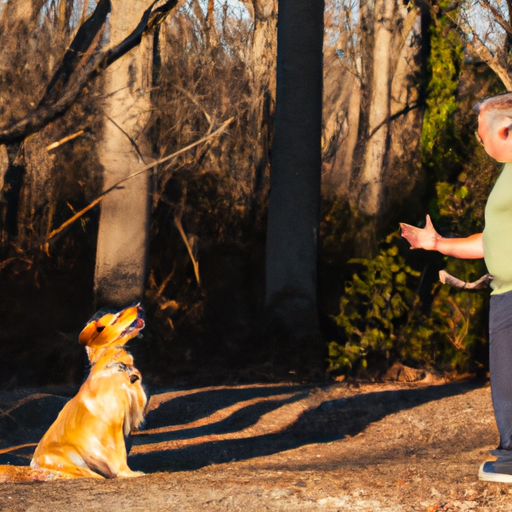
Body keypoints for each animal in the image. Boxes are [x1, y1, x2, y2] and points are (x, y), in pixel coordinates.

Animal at [0, 302, 146, 482]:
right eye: (117, 317)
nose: (139, 306)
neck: (116, 366)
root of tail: (34, 467)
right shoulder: (114, 424)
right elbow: (119, 453)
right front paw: (129, 474)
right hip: (72, 457)